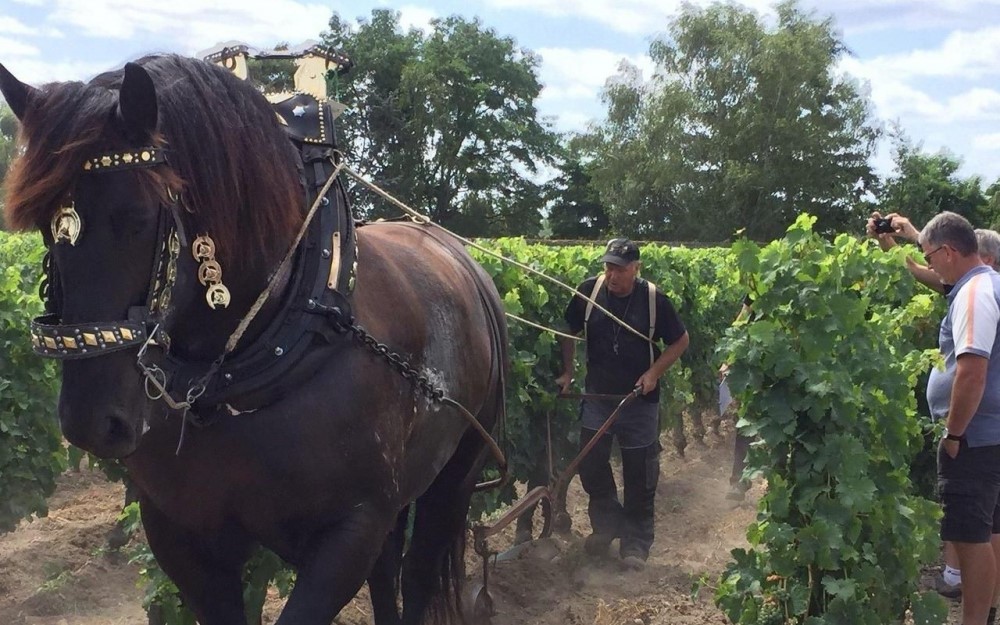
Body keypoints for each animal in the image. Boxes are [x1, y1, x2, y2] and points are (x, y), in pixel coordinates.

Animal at [1, 54, 508, 624]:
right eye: (45, 227)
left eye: (136, 217)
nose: (89, 422)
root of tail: (461, 257)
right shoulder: (180, 536)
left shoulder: (350, 531)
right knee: (389, 571)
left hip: (456, 476)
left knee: (420, 571)